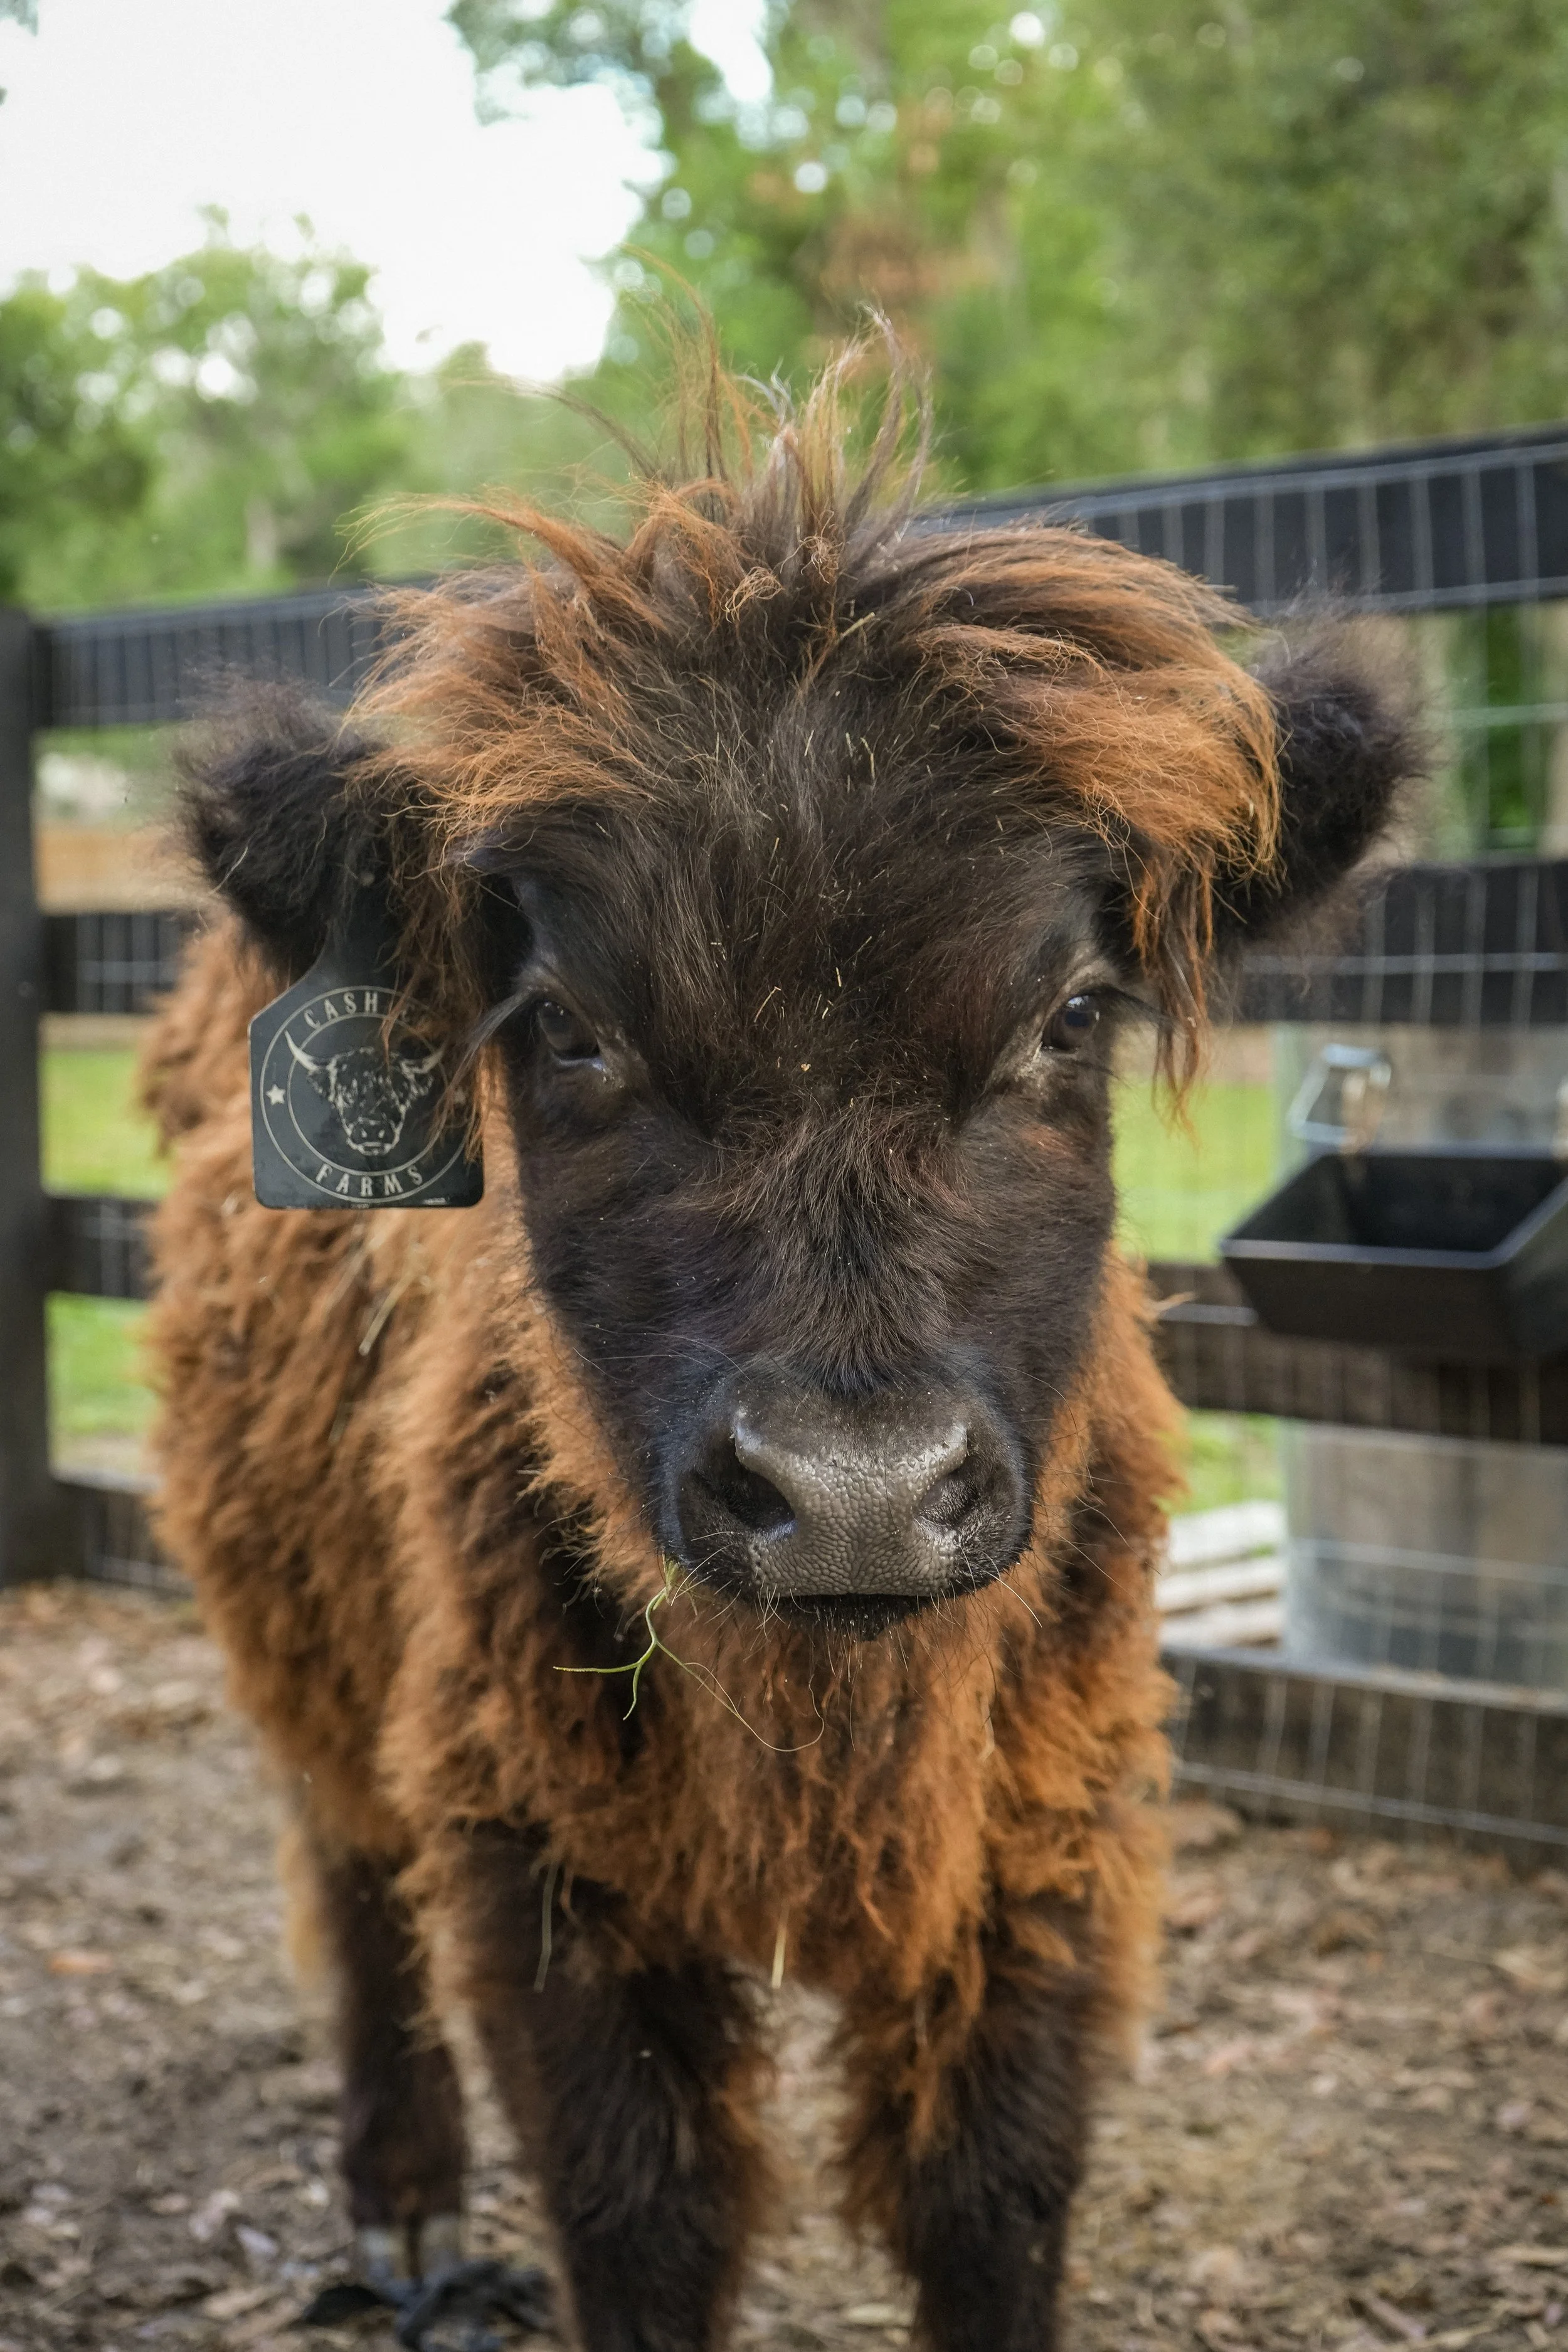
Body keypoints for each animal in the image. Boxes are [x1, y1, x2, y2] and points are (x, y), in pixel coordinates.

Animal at [143, 336, 1416, 2352]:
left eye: (1072, 1011)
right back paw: (406, 2212)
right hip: (300, 1627)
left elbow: (992, 2199)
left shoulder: (1046, 1842)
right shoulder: (538, 1850)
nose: (855, 1495)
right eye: (564, 1023)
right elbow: (642, 2215)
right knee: (348, 1878)